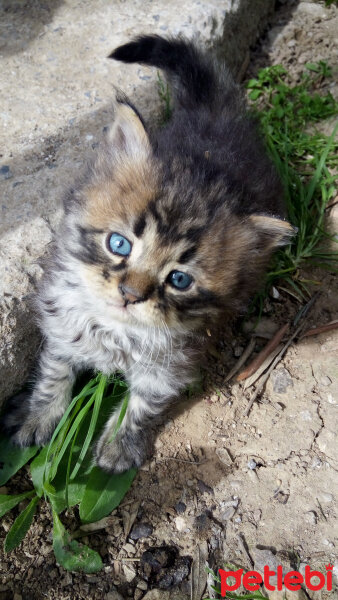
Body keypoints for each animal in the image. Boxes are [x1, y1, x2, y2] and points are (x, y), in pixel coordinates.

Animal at [2, 36, 294, 474]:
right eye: (119, 244)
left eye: (179, 279)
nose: (130, 294)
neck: (114, 330)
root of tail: (212, 114)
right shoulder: (60, 321)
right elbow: (54, 373)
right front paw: (38, 416)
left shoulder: (170, 366)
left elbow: (141, 406)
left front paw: (119, 445)